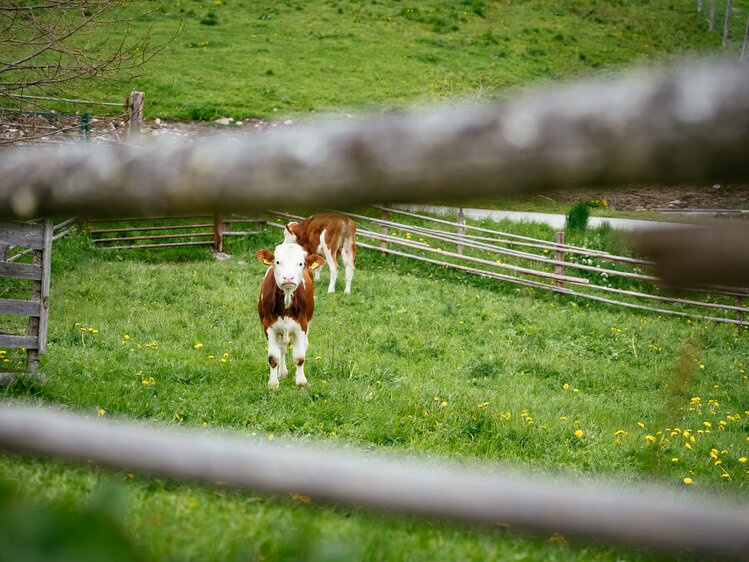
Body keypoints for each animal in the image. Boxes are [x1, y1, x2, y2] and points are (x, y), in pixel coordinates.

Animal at [258, 243, 324, 388]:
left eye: (300, 263)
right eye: (277, 262)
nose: (288, 278)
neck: (286, 305)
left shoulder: (302, 325)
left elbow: (299, 357)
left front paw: (301, 382)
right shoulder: (268, 326)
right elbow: (273, 357)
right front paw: (273, 383)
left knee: (303, 346)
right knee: (282, 349)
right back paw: (282, 372)